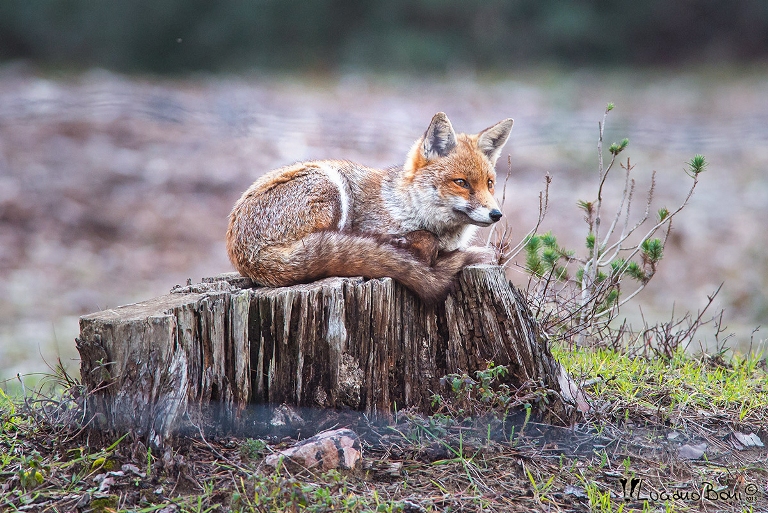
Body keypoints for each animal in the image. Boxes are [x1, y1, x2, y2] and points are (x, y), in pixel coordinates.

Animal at [228, 112, 516, 302]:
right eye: (461, 183)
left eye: (490, 184)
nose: (496, 214)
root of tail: (245, 254)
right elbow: (426, 242)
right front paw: (408, 245)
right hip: (332, 186)